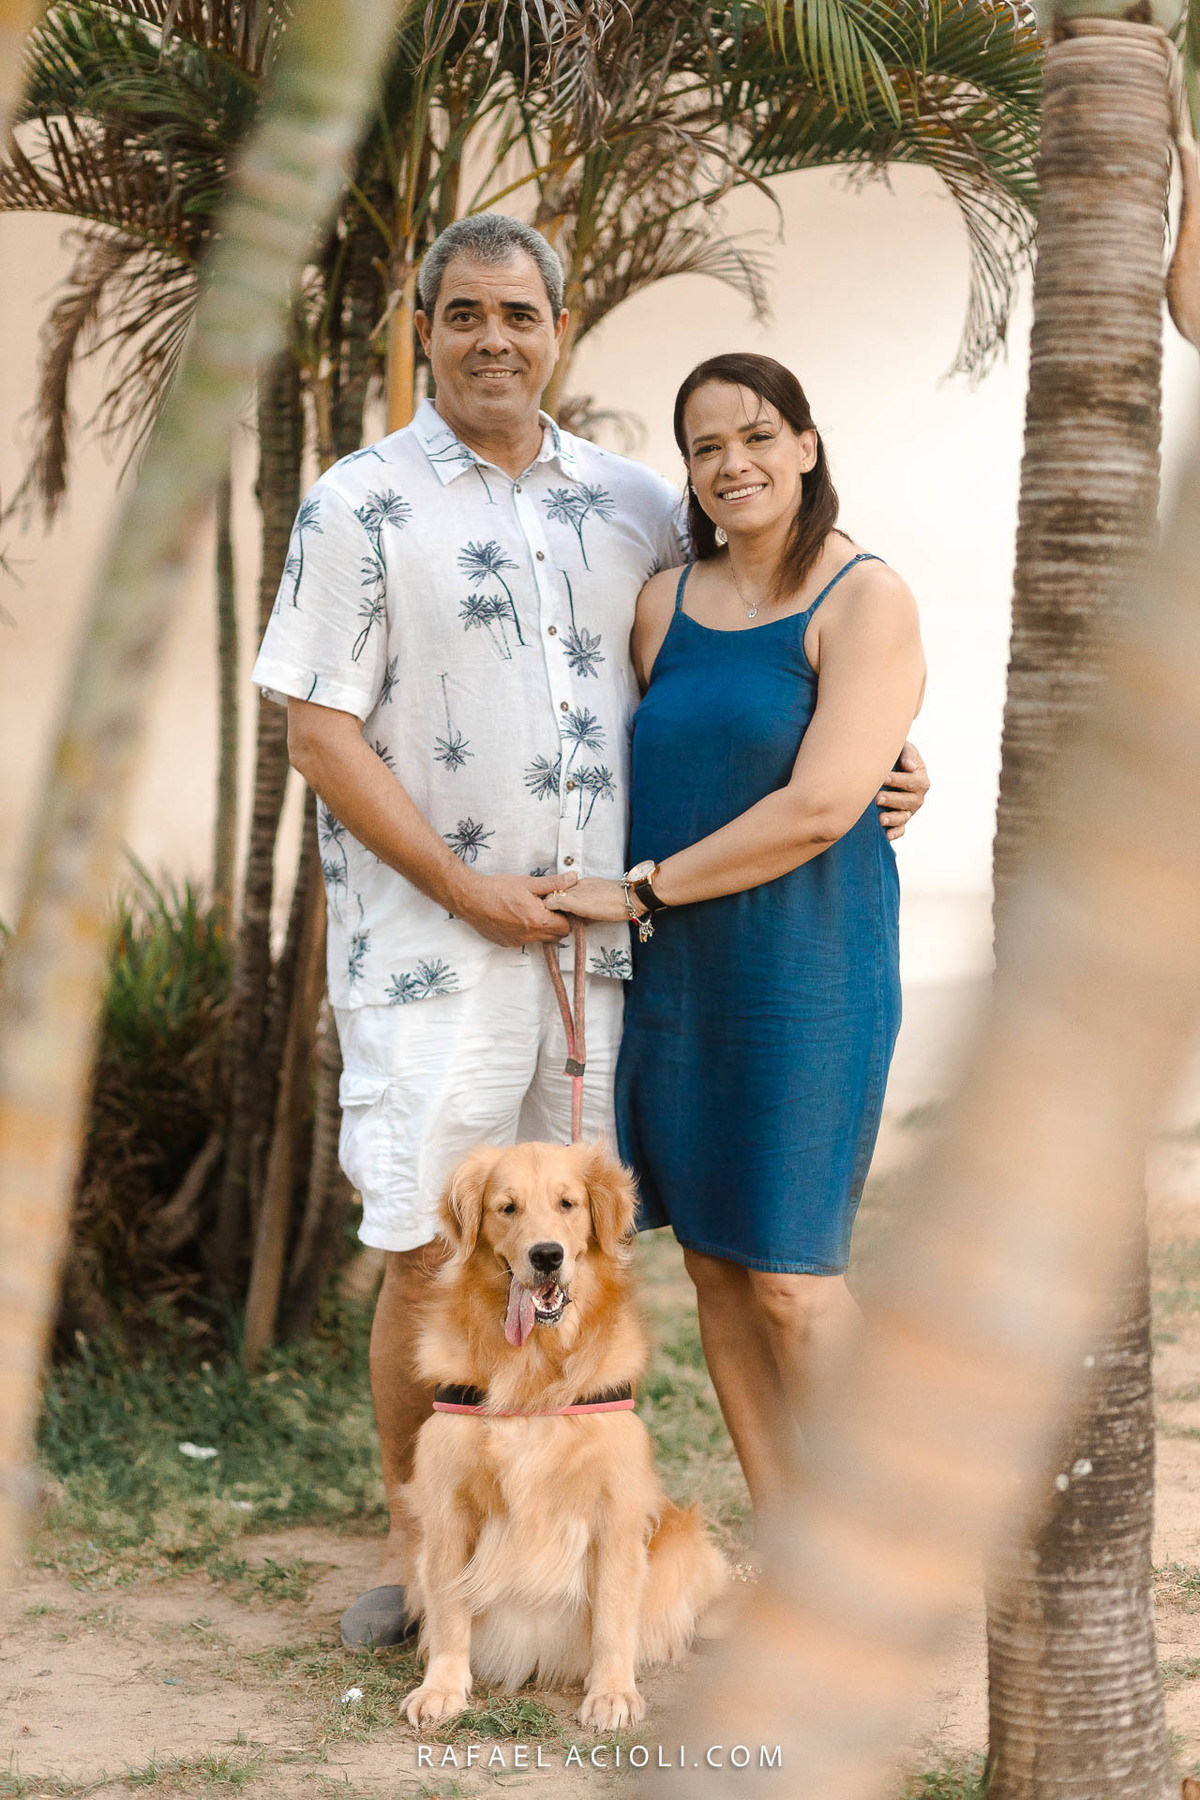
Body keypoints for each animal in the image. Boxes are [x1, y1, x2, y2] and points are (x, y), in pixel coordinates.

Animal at [399, 1139, 729, 1732]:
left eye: (568, 1204)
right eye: (507, 1208)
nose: (547, 1255)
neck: (534, 1368)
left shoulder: (616, 1512)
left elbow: (615, 1615)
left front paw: (613, 1693)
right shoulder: (447, 1510)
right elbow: (450, 1609)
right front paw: (441, 1687)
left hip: (684, 1541)